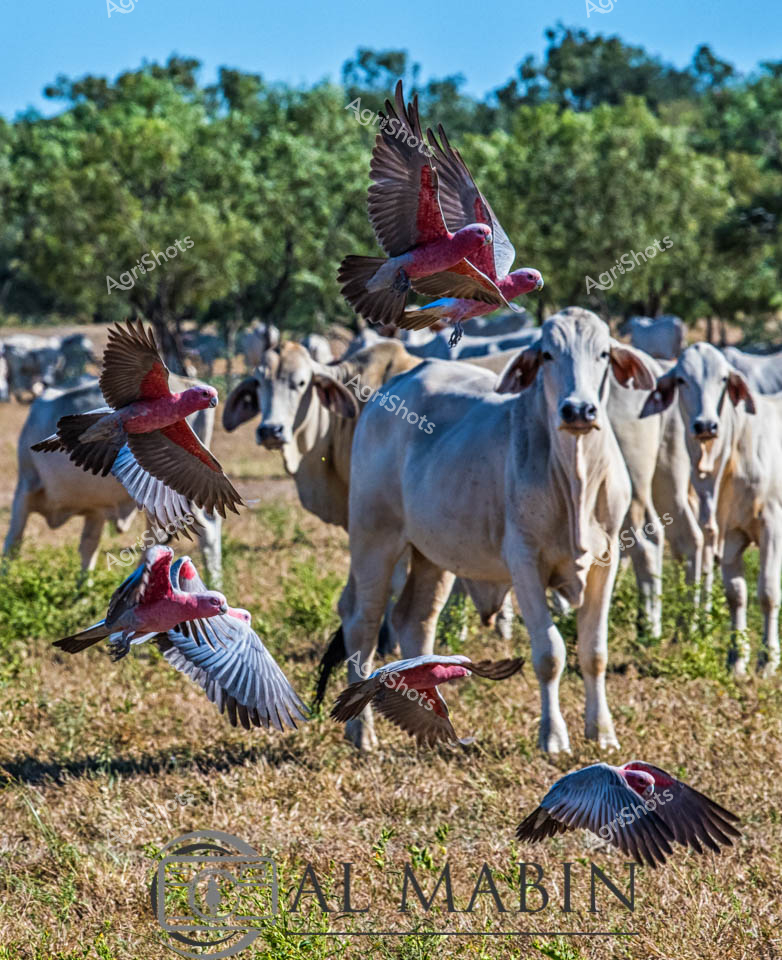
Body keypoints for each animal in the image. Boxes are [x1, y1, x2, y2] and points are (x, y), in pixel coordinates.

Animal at [5, 379, 223, 585]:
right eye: (205, 394)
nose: (214, 400)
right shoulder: (95, 510)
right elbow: (88, 548)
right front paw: (83, 591)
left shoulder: (24, 490)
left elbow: (12, 542)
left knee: (205, 530)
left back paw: (212, 580)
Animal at [333, 307, 655, 752]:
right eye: (548, 354)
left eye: (603, 354)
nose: (578, 410)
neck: (575, 478)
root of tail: (396, 383)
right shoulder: (524, 561)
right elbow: (550, 653)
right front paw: (553, 736)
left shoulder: (606, 560)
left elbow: (594, 652)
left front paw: (602, 732)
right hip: (373, 537)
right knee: (361, 621)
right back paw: (361, 732)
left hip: (432, 555)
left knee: (416, 619)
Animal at [641, 342, 781, 677]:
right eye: (682, 380)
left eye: (723, 379)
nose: (705, 424)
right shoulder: (729, 533)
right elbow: (736, 595)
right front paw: (737, 659)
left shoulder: (772, 524)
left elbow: (768, 593)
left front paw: (768, 660)